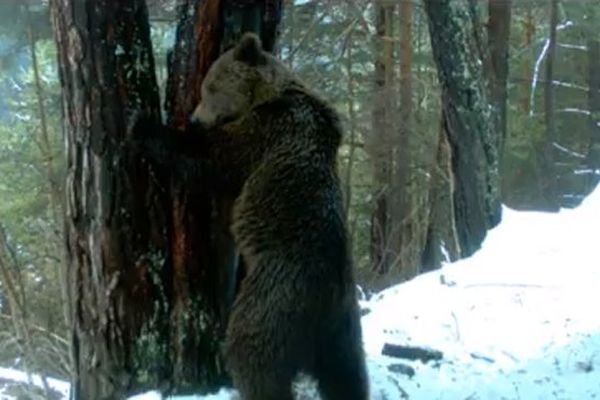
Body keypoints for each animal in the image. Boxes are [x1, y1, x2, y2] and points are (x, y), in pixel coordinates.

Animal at [141, 33, 368, 400]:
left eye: (210, 87)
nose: (195, 119)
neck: (269, 94)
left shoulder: (266, 132)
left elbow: (211, 158)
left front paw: (142, 126)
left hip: (273, 300)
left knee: (254, 356)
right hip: (344, 329)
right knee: (347, 375)